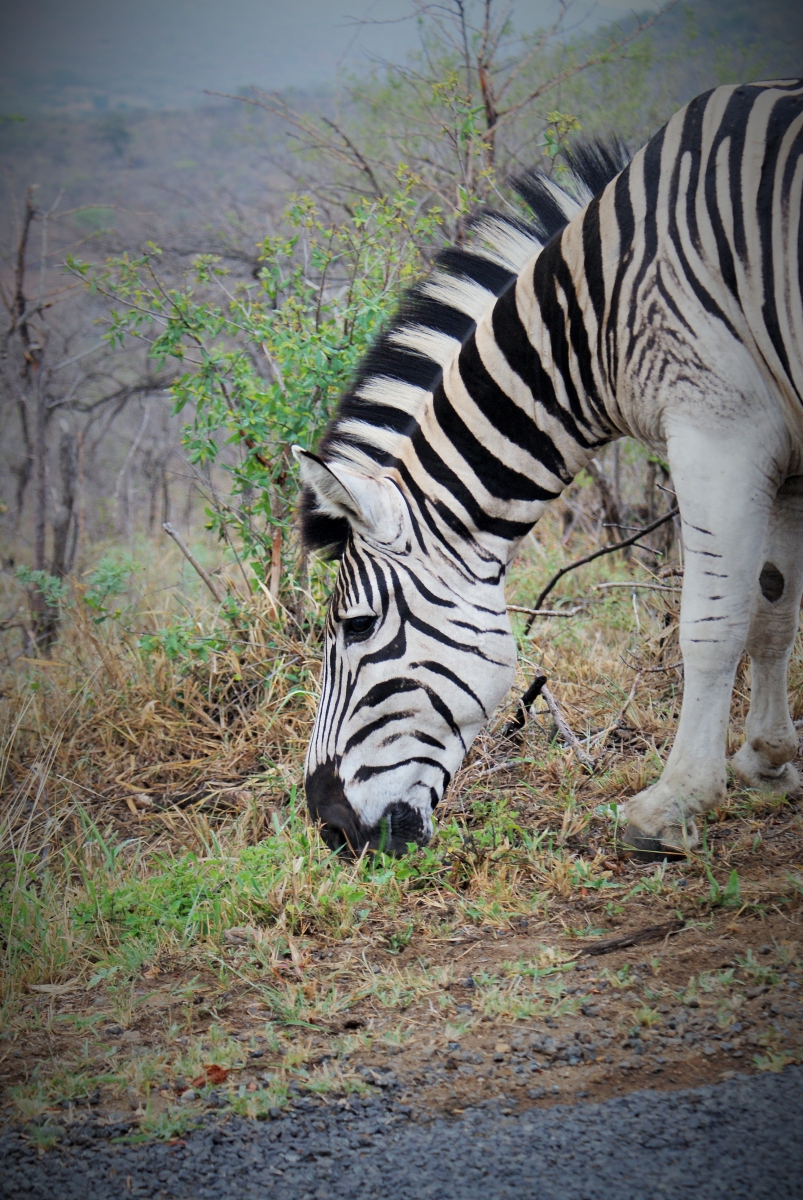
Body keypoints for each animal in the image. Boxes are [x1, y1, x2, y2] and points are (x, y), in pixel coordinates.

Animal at [291, 79, 801, 859]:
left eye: (355, 626)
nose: (328, 828)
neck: (598, 318)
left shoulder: (719, 428)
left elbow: (712, 623)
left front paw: (673, 803)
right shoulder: (784, 452)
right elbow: (774, 608)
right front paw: (768, 760)